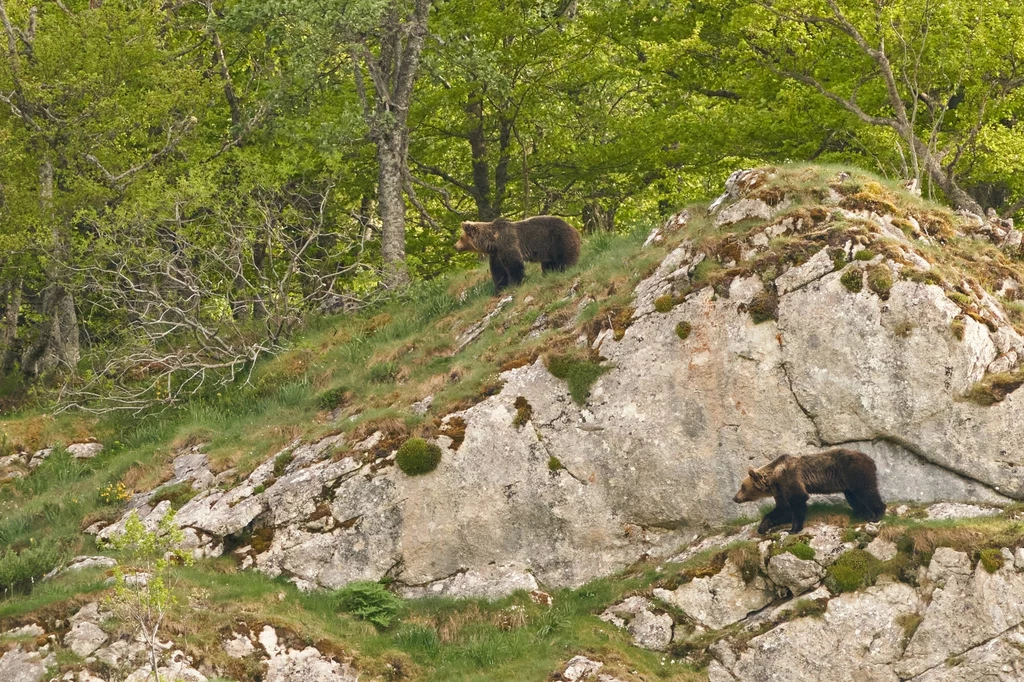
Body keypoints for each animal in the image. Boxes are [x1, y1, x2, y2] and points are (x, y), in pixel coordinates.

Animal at [456, 215, 585, 292]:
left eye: (461, 237)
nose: (455, 246)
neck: (493, 242)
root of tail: (575, 229)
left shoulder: (508, 244)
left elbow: (514, 265)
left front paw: (514, 284)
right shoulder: (496, 254)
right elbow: (498, 271)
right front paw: (499, 288)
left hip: (559, 240)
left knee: (565, 259)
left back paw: (565, 270)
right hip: (548, 251)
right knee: (548, 264)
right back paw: (549, 274)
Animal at [729, 448, 888, 532]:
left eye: (742, 486)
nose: (735, 498)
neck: (774, 477)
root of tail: (871, 459)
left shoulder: (790, 478)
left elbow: (797, 500)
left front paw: (793, 529)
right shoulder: (780, 489)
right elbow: (782, 509)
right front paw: (763, 526)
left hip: (854, 471)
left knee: (867, 491)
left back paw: (877, 514)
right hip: (848, 483)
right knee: (854, 498)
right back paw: (862, 514)